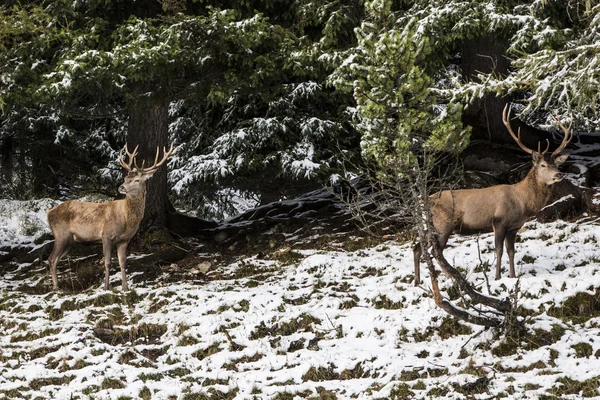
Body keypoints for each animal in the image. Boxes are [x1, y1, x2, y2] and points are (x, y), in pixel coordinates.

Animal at [46, 144, 176, 290]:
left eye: (137, 180)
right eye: (125, 179)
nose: (121, 187)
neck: (126, 219)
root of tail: (48, 213)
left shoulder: (124, 240)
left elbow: (122, 262)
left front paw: (125, 287)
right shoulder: (106, 235)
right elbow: (107, 262)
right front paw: (106, 287)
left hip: (70, 240)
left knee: (55, 259)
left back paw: (57, 285)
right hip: (60, 234)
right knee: (51, 258)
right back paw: (56, 287)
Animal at [412, 103, 572, 284]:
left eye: (556, 164)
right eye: (543, 165)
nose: (559, 174)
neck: (522, 202)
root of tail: (420, 203)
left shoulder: (514, 227)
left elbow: (511, 251)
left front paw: (512, 276)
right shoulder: (499, 222)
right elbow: (499, 250)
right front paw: (497, 277)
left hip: (430, 227)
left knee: (417, 248)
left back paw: (418, 281)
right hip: (443, 224)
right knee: (435, 251)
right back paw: (451, 278)